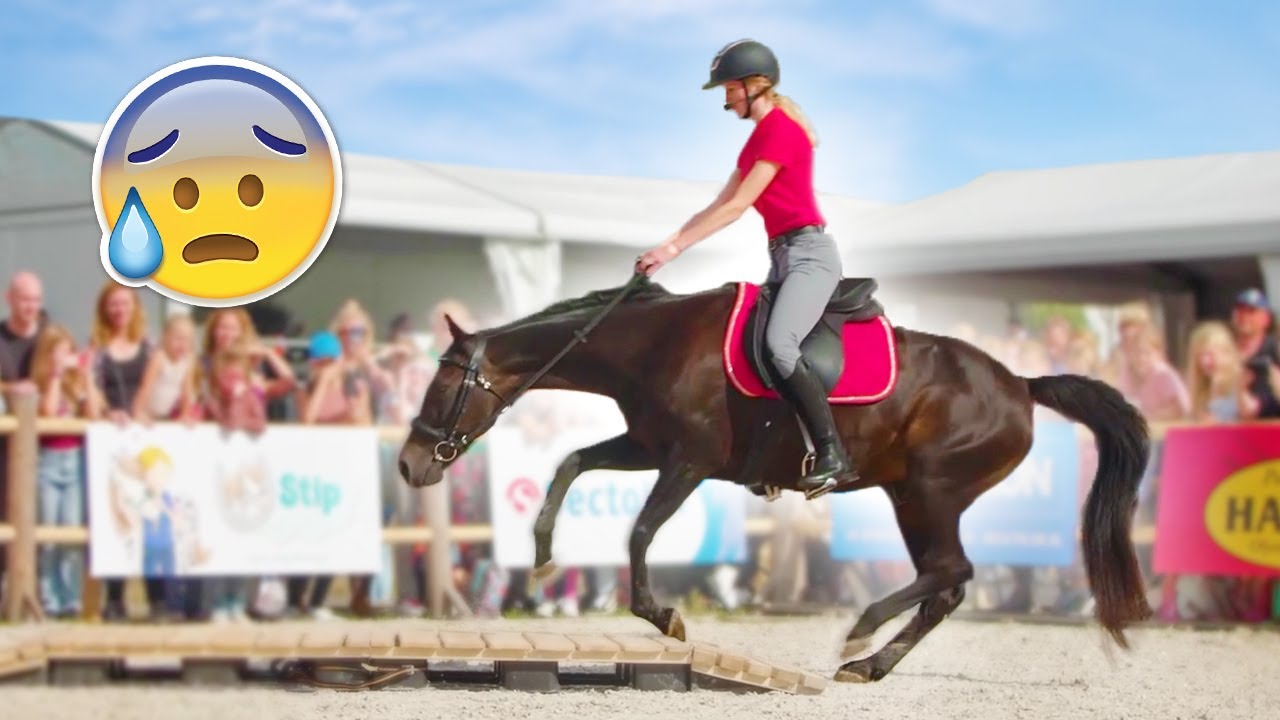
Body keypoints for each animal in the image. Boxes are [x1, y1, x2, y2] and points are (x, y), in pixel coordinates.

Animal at [397, 273, 1153, 683]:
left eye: (441, 387)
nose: (408, 463)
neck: (652, 344)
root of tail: (1022, 384)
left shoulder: (689, 461)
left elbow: (640, 530)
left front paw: (662, 615)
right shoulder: (647, 446)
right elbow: (571, 464)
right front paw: (544, 554)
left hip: (931, 491)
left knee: (952, 571)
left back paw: (860, 633)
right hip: (913, 495)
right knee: (945, 583)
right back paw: (870, 664)